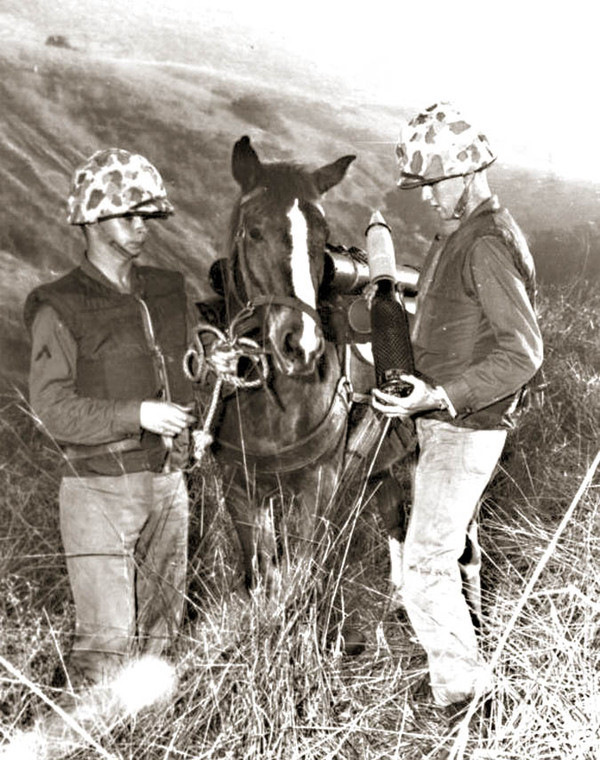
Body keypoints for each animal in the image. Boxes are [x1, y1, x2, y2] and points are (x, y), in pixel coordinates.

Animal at [199, 137, 410, 620]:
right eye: (253, 230)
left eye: (321, 236)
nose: (301, 343)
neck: (275, 407)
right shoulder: (242, 490)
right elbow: (261, 574)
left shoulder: (318, 489)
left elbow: (300, 574)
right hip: (379, 468)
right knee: (394, 514)